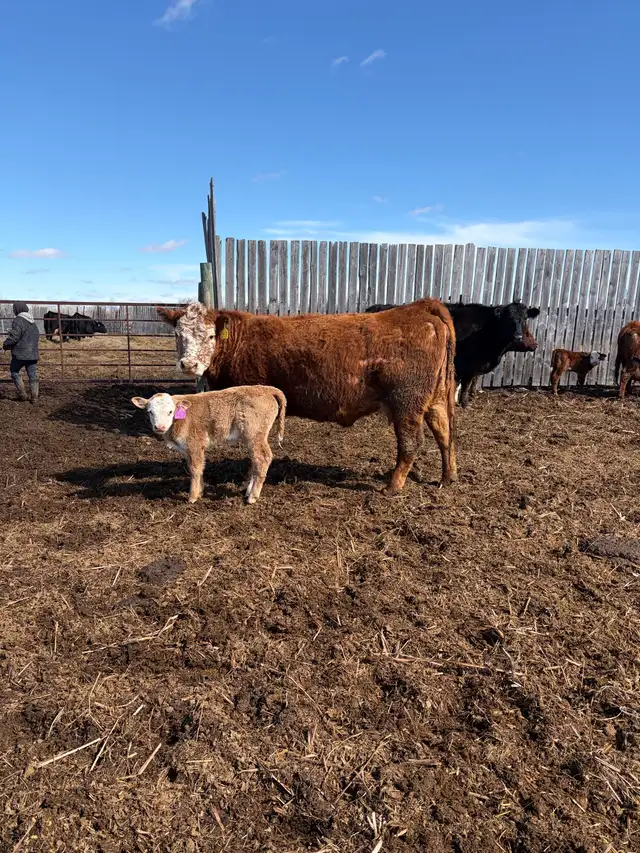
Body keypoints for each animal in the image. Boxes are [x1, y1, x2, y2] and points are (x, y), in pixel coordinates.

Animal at [132, 386, 287, 504]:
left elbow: (195, 469)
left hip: (255, 435)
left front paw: (192, 497)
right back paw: (248, 491)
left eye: (170, 411)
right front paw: (200, 492)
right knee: (256, 461)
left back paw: (253, 497)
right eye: (150, 412)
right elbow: (197, 467)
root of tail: (267, 389)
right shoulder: (188, 450)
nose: (160, 427)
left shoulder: (195, 444)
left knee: (263, 458)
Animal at [157, 299, 457, 495]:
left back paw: (392, 486)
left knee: (411, 444)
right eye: (177, 334)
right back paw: (448, 476)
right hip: (435, 399)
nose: (188, 364)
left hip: (406, 402)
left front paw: (246, 483)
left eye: (210, 335)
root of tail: (420, 307)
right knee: (445, 433)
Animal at [366, 300, 540, 407]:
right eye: (507, 318)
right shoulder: (460, 365)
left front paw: (463, 403)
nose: (518, 336)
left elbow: (464, 385)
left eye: (524, 319)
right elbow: (458, 385)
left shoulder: (470, 368)